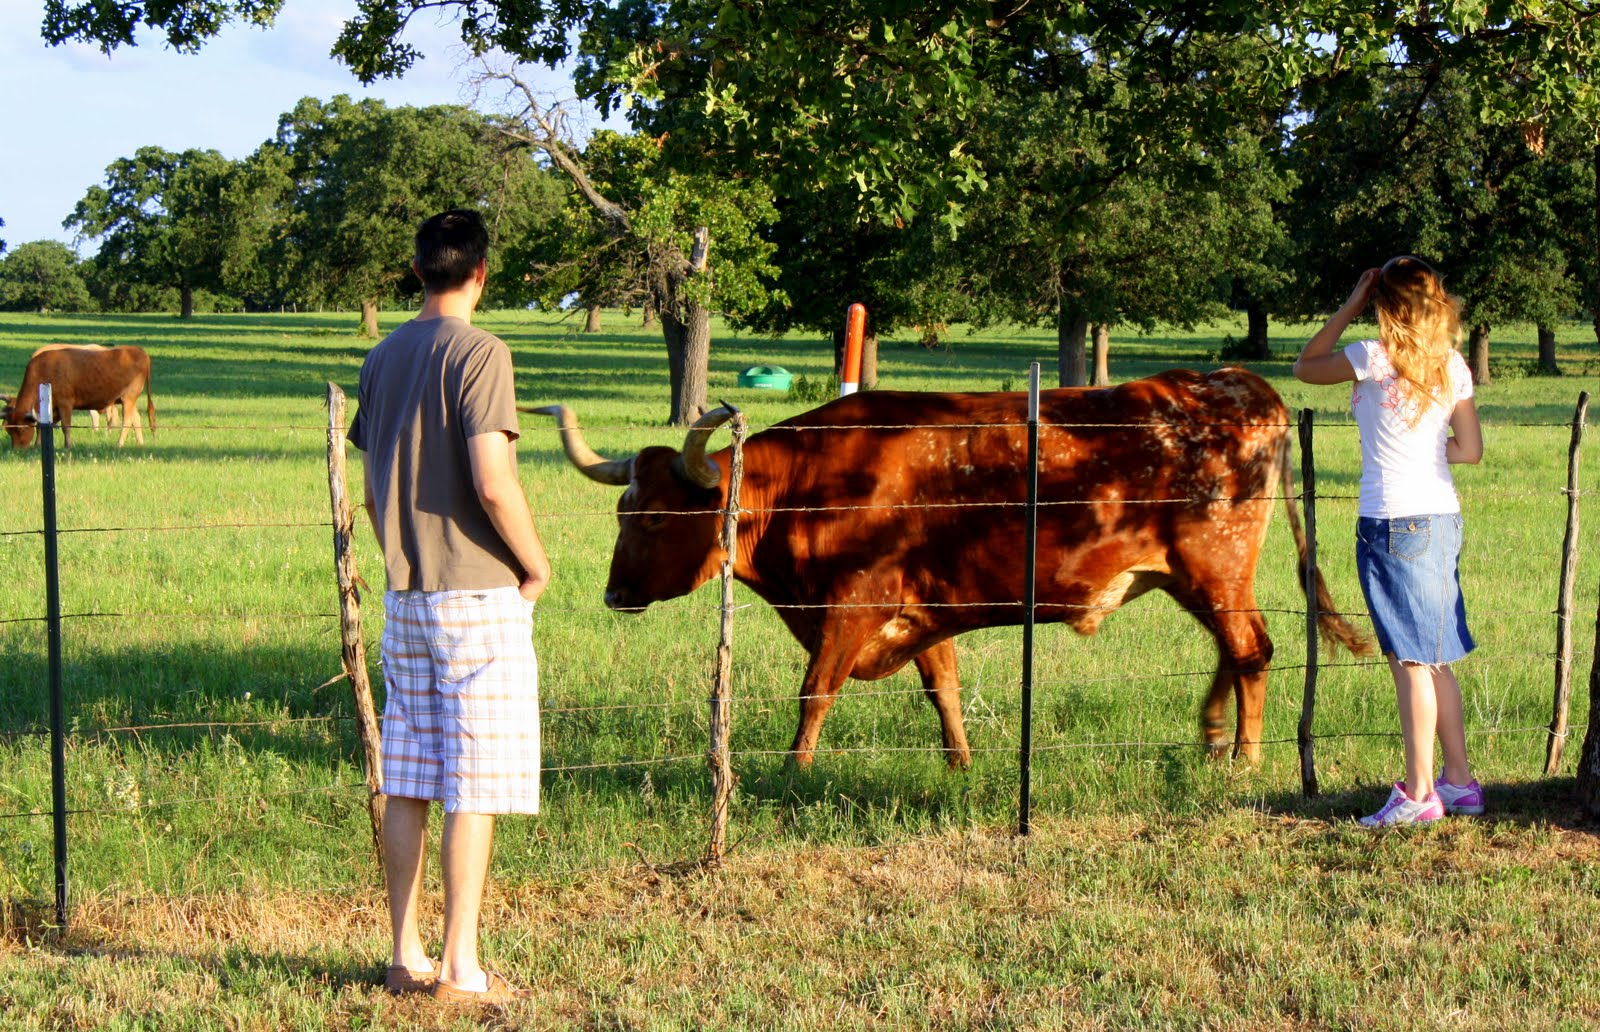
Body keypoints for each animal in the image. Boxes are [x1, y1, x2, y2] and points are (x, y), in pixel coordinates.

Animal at [3, 344, 155, 449]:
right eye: (8, 430)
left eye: (22, 428)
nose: (17, 450)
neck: (45, 370)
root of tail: (139, 351)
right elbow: (43, 426)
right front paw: (37, 446)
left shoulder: (65, 404)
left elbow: (66, 426)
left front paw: (68, 446)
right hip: (129, 401)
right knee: (136, 419)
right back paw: (140, 443)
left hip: (128, 398)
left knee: (127, 421)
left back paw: (119, 444)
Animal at [533, 368, 1374, 769]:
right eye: (621, 514)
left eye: (656, 517)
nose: (614, 593)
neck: (808, 483)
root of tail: (1237, 382)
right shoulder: (924, 611)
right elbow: (944, 690)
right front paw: (960, 764)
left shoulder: (853, 606)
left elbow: (815, 693)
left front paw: (794, 771)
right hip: (1189, 575)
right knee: (1234, 653)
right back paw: (1209, 735)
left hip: (1215, 567)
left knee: (1252, 651)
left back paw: (1245, 757)